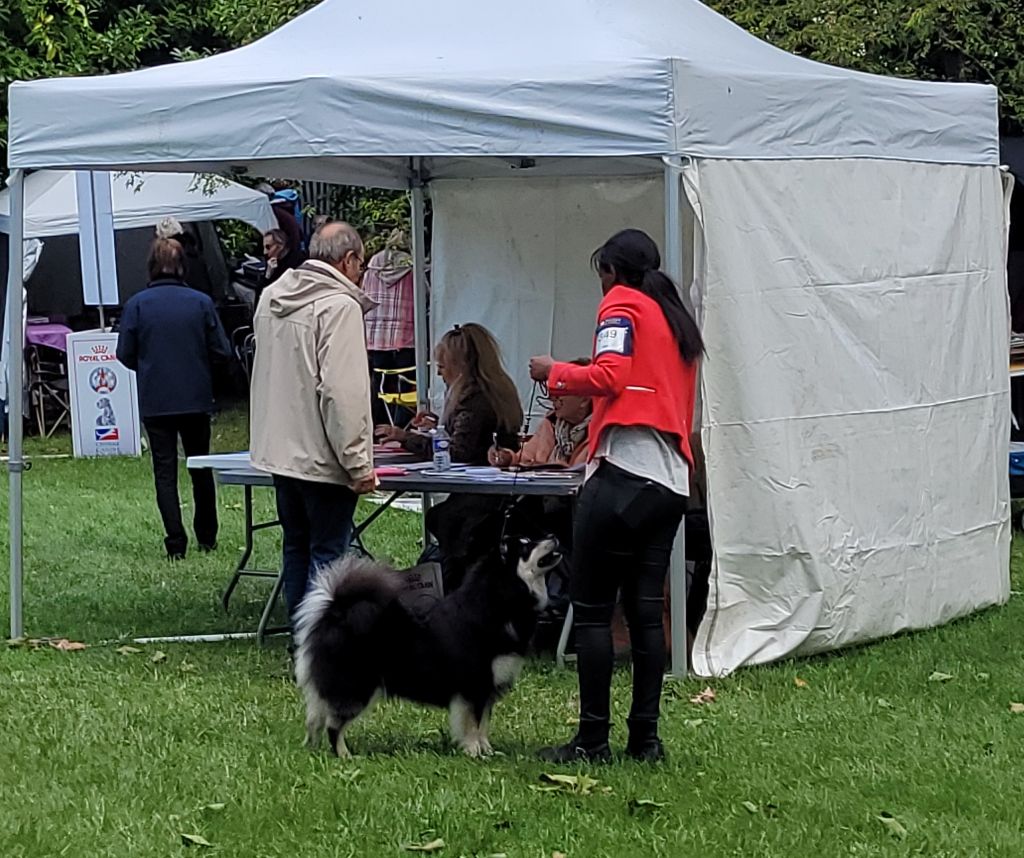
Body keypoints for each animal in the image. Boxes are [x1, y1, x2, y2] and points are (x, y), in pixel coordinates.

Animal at [293, 535, 561, 757]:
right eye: (526, 547)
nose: (554, 537)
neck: (498, 603)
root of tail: (336, 611)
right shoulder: (475, 686)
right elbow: (473, 724)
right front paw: (474, 751)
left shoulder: (488, 690)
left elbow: (483, 723)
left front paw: (486, 750)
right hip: (356, 688)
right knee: (333, 725)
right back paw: (344, 755)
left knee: (314, 720)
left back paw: (313, 748)